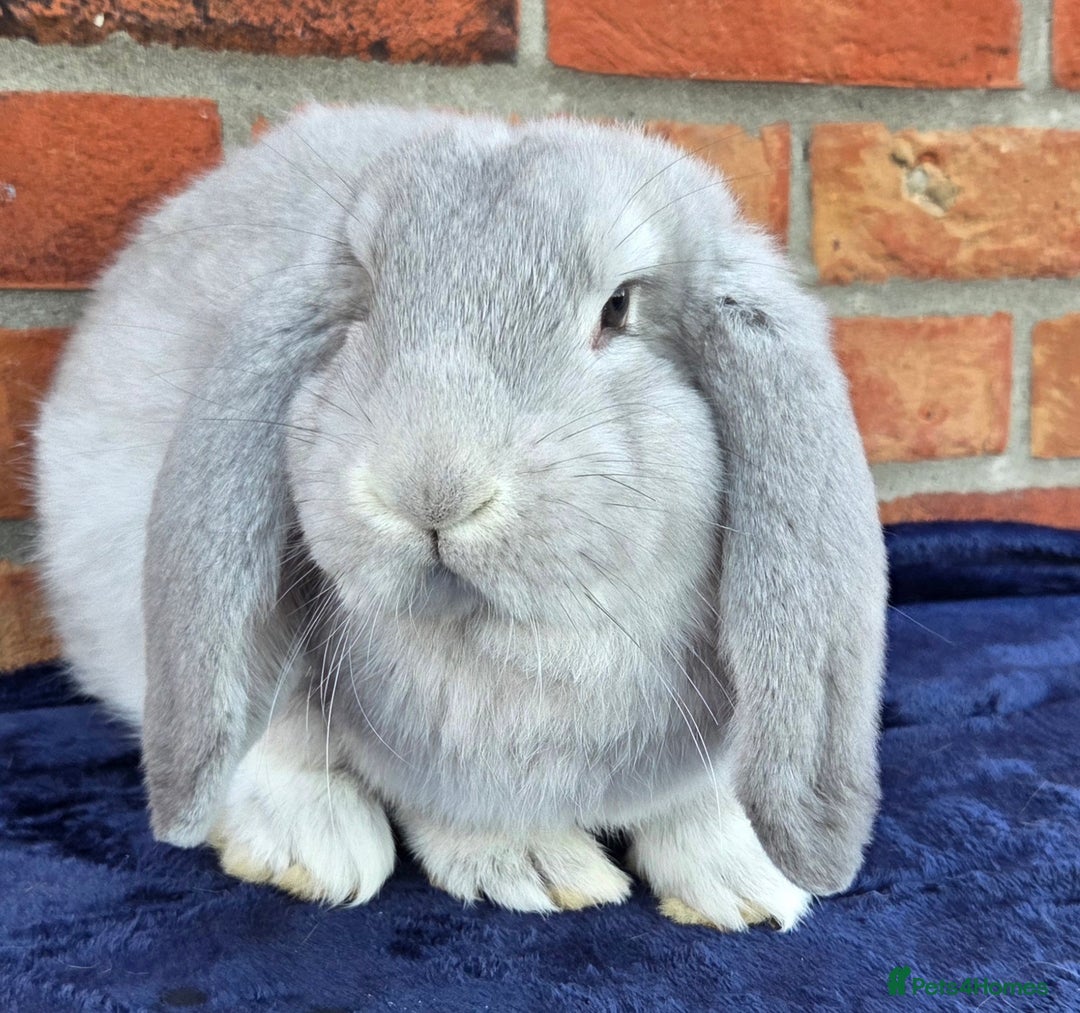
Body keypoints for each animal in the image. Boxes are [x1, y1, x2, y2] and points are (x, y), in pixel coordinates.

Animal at [33, 104, 887, 931]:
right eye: (364, 297)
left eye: (619, 306)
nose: (428, 488)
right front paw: (538, 868)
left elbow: (698, 803)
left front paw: (747, 886)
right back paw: (321, 845)